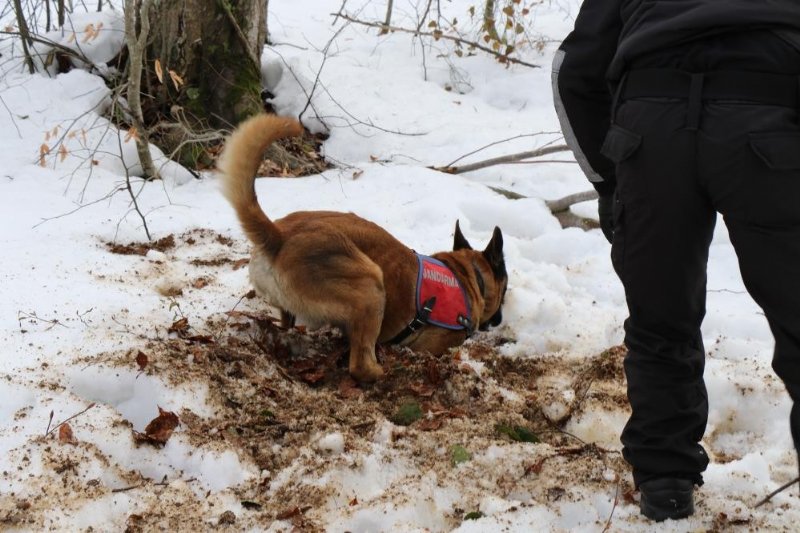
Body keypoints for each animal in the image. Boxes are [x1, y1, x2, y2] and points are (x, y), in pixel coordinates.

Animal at [219, 115, 506, 382]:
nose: (499, 320)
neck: (466, 276)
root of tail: (279, 237)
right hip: (371, 286)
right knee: (360, 365)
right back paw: (384, 372)